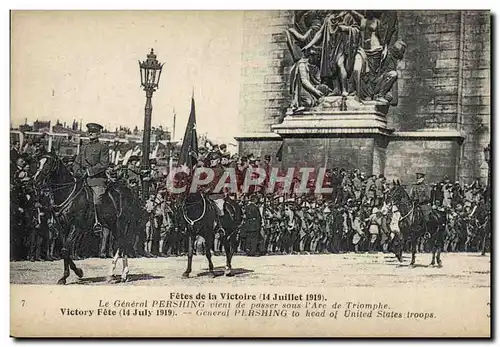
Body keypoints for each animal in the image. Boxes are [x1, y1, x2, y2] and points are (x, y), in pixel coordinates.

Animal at [32, 154, 146, 284]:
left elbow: (65, 250)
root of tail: (130, 192)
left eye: (49, 164)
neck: (68, 193)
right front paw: (66, 276)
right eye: (38, 163)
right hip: (113, 225)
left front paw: (77, 273)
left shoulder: (76, 227)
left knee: (122, 244)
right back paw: (123, 274)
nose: (35, 181)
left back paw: (115, 274)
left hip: (121, 224)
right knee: (121, 245)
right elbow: (64, 250)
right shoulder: (63, 228)